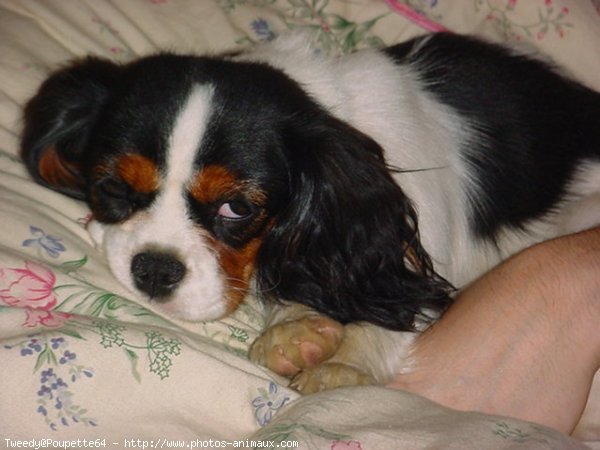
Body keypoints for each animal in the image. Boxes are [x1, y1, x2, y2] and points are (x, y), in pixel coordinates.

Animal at [21, 33, 600, 394]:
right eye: (113, 188)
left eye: (236, 208)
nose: (154, 270)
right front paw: (297, 328)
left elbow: (394, 302)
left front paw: (343, 359)